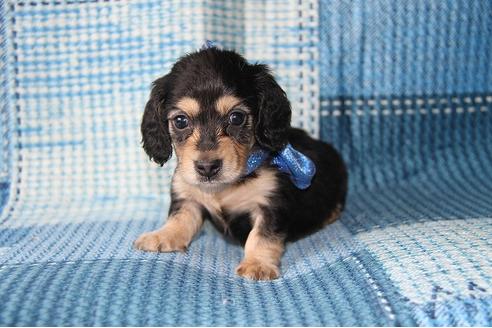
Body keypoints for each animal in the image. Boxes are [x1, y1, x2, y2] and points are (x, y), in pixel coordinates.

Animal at [135, 47, 348, 280]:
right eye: (181, 121)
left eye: (236, 118)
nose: (207, 168)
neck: (224, 187)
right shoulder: (187, 197)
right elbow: (179, 219)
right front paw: (162, 236)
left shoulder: (270, 203)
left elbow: (262, 235)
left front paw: (257, 264)